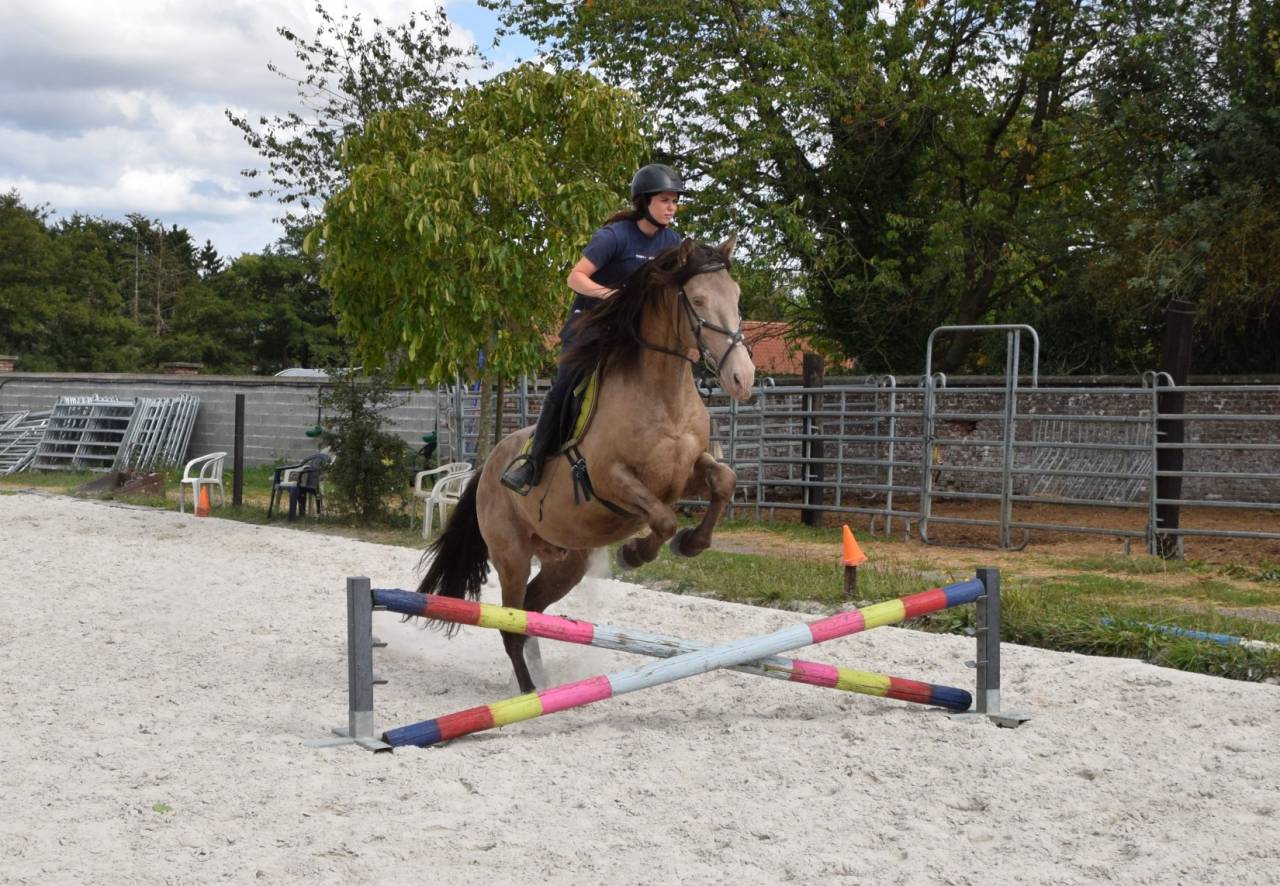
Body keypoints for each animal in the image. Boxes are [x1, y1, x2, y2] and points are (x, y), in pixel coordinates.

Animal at [416, 236, 756, 693]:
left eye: (736, 296)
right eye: (698, 299)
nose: (743, 378)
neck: (665, 396)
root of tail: (487, 468)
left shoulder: (684, 475)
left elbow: (724, 480)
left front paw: (691, 543)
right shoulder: (611, 480)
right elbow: (663, 518)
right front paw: (634, 552)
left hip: (566, 561)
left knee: (532, 611)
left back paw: (541, 683)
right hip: (511, 555)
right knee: (511, 623)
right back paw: (529, 693)